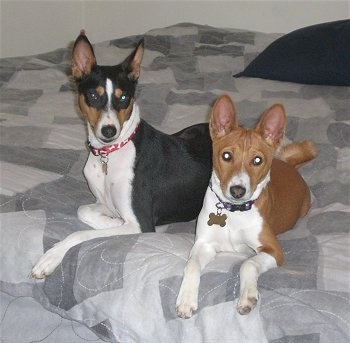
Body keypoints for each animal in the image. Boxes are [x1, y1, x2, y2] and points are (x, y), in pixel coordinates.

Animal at [29, 32, 211, 280]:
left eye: (124, 97)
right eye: (93, 95)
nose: (109, 131)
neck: (109, 155)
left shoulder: (139, 223)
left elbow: (81, 234)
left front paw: (51, 257)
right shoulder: (102, 202)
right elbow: (83, 210)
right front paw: (108, 221)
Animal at [176, 94, 316, 320]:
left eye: (257, 160)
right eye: (226, 156)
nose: (237, 190)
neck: (233, 213)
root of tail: (289, 165)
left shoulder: (274, 250)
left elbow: (247, 264)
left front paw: (247, 297)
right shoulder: (203, 244)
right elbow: (191, 265)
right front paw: (186, 299)